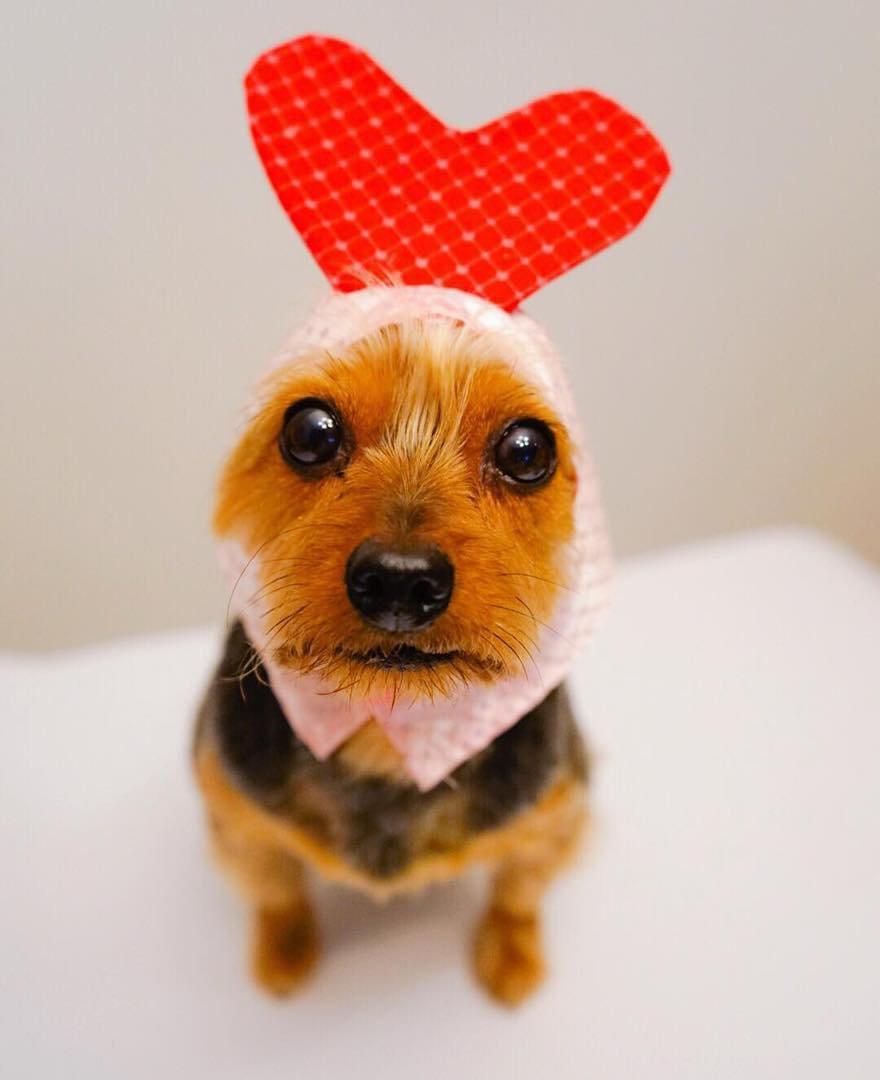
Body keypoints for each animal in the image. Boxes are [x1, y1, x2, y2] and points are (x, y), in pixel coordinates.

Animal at [193, 293, 608, 1002]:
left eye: (527, 450)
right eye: (310, 432)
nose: (400, 579)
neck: (391, 736)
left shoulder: (556, 810)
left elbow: (519, 891)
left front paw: (512, 955)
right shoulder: (235, 808)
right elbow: (275, 889)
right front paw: (284, 950)